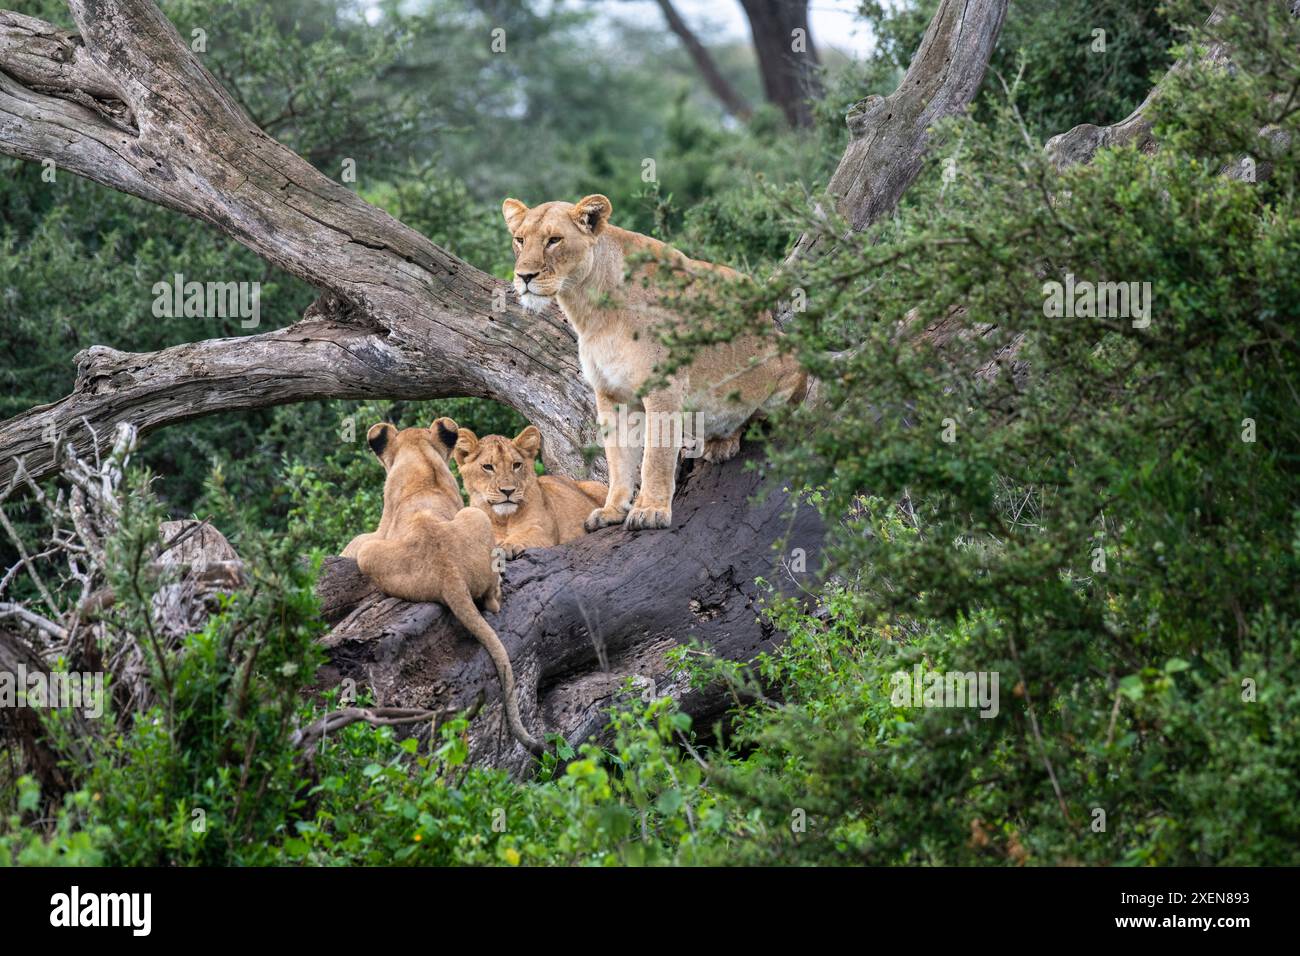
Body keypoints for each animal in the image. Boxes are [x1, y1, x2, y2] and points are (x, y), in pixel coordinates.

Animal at [341, 417, 543, 755]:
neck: (420, 460)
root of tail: (448, 572)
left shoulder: (380, 530)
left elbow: (355, 541)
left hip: (378, 553)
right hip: (474, 516)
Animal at [450, 421, 608, 559]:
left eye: (516, 465)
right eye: (488, 467)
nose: (508, 491)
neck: (504, 519)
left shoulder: (542, 530)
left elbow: (525, 535)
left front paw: (508, 545)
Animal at [502, 193, 807, 531]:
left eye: (554, 240)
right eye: (520, 240)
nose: (524, 277)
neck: (592, 310)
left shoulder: (664, 387)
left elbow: (655, 458)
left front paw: (650, 510)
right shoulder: (609, 394)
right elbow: (618, 458)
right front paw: (612, 510)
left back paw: (722, 443)